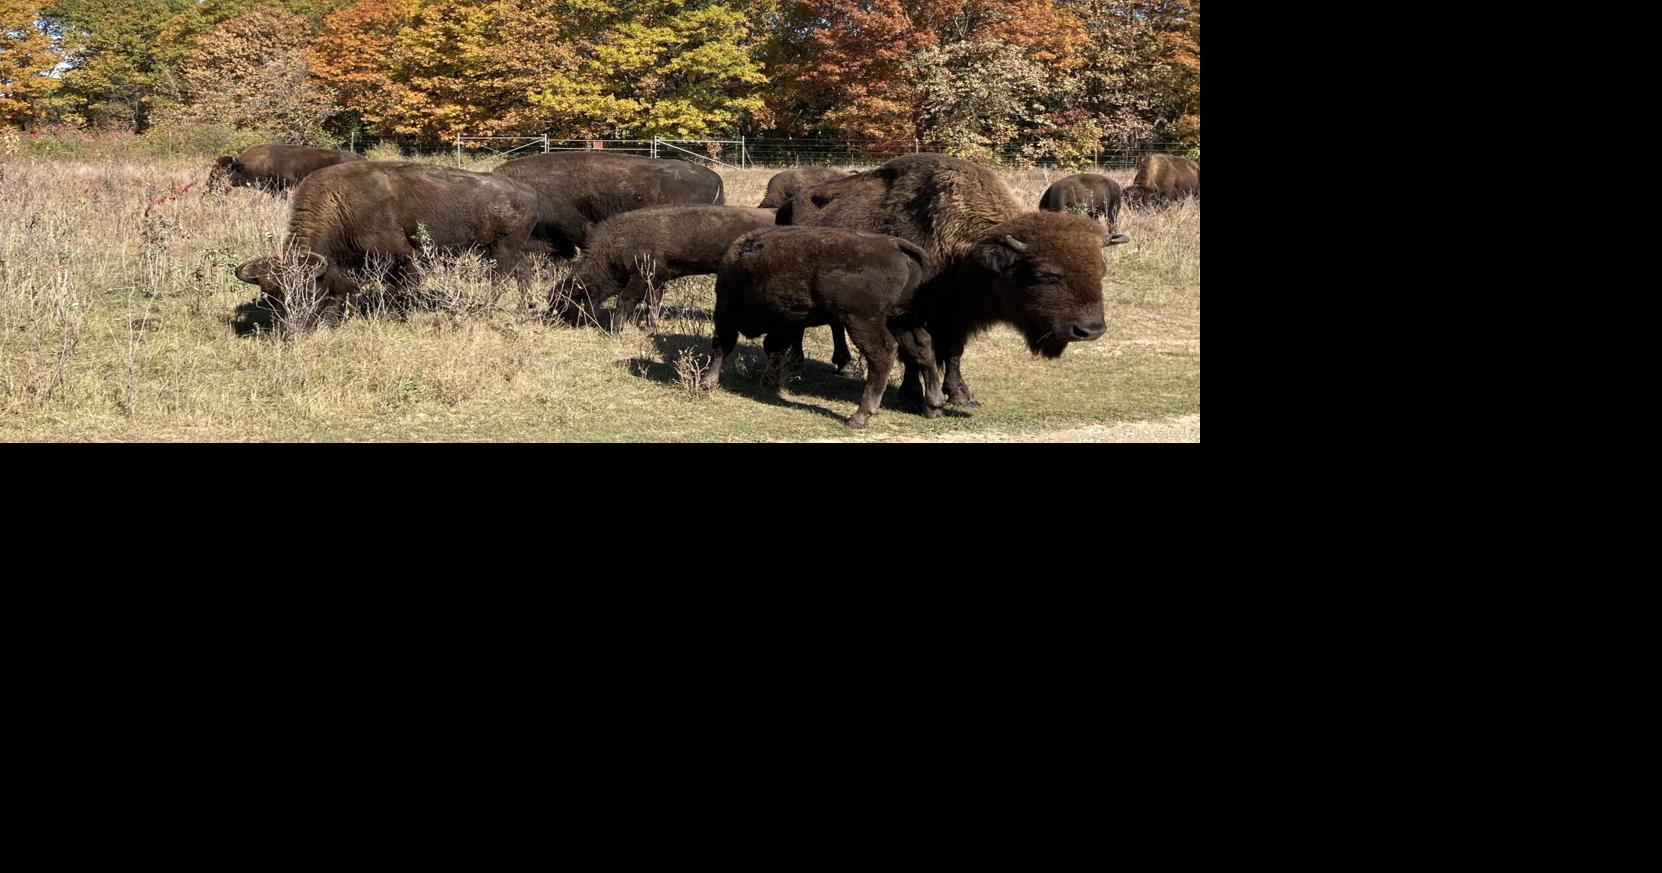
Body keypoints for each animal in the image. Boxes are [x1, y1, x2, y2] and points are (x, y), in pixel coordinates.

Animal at [778, 153, 1128, 409]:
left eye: (1101, 270)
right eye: (1045, 274)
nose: (1090, 330)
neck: (968, 252)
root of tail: (787, 205)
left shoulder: (957, 316)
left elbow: (952, 353)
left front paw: (962, 396)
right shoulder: (914, 315)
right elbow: (915, 354)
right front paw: (912, 394)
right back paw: (801, 362)